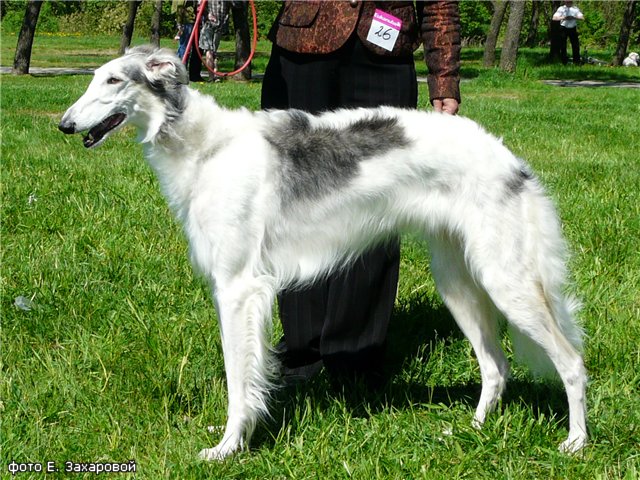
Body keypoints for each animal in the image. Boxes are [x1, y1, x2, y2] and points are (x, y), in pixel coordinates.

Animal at [59, 46, 588, 459]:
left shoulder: (237, 288)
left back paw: (576, 442)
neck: (207, 147)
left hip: (506, 280)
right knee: (496, 368)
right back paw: (469, 431)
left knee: (570, 361)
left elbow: (238, 379)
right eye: (93, 77)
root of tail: (511, 160)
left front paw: (229, 447)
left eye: (112, 79)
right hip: (457, 281)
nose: (64, 125)